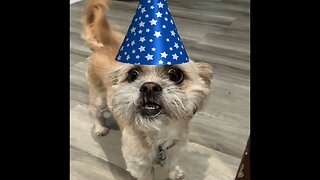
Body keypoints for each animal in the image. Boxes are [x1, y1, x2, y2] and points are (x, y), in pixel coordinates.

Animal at [82, 0, 212, 179]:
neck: (159, 136)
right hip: (98, 98)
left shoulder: (174, 150)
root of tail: (102, 47)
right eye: (132, 74)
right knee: (96, 113)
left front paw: (174, 172)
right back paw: (100, 128)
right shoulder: (139, 165)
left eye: (175, 74)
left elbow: (172, 163)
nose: (149, 87)